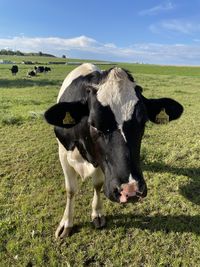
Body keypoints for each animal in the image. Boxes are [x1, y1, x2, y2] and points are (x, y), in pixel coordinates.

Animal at [44, 63, 184, 239]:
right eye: (94, 123)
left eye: (143, 121)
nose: (130, 190)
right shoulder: (63, 153)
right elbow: (71, 190)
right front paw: (66, 223)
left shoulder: (101, 163)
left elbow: (97, 184)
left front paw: (97, 213)